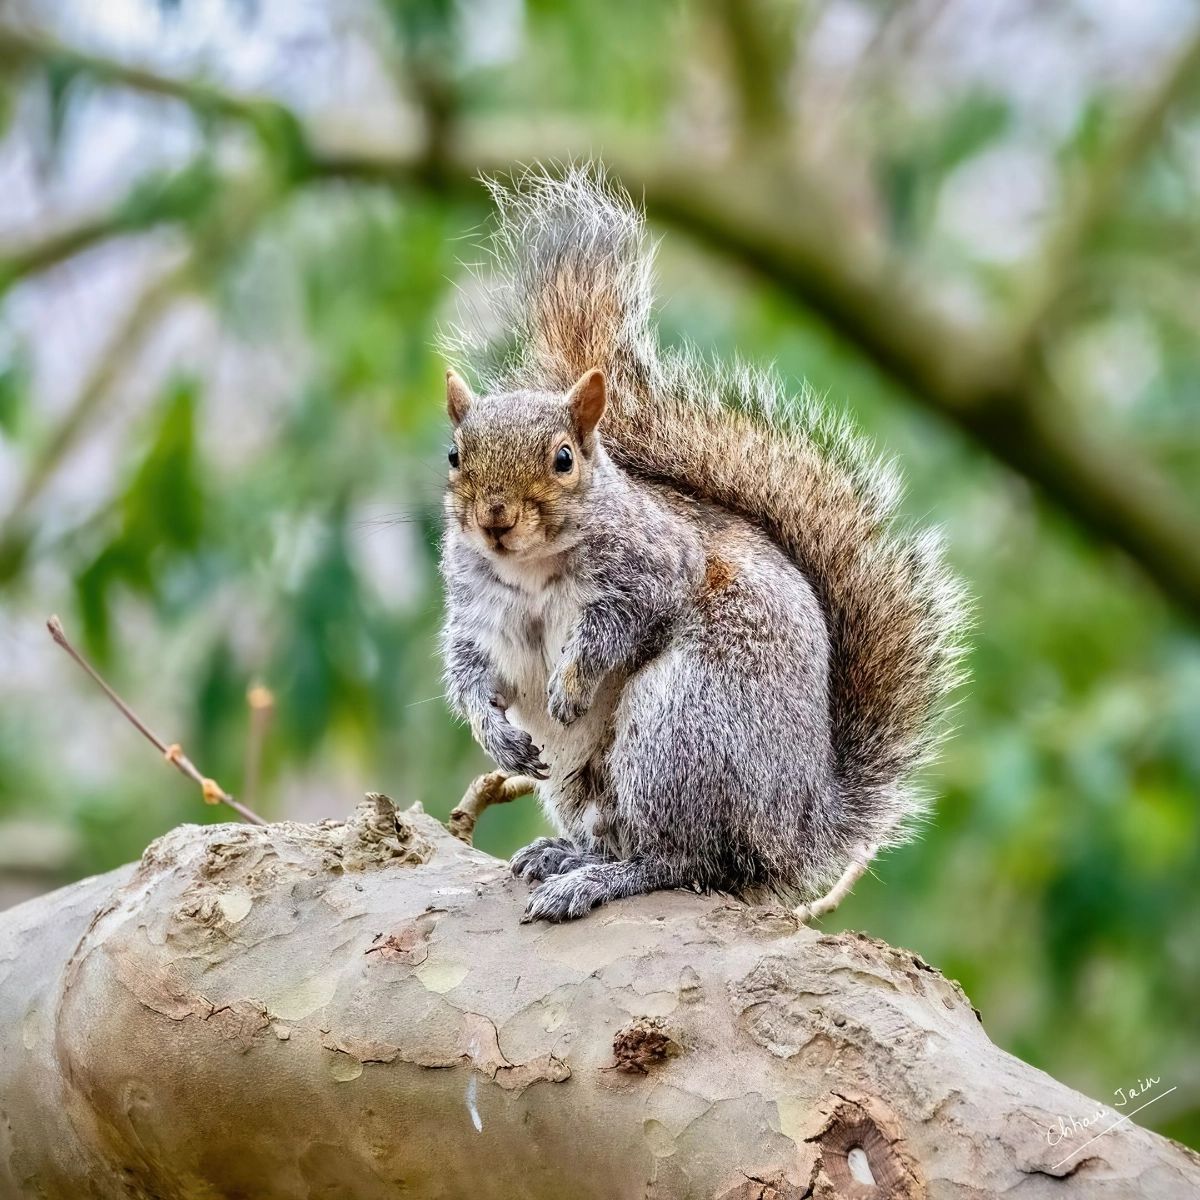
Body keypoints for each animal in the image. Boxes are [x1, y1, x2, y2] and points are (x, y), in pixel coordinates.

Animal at [439, 164, 964, 921]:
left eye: (564, 458)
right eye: (455, 456)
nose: (495, 519)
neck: (533, 570)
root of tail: (795, 828)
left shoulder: (658, 568)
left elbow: (617, 625)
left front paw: (571, 682)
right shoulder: (477, 612)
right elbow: (471, 670)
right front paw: (494, 729)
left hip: (682, 728)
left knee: (681, 858)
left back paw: (600, 878)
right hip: (586, 778)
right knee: (632, 836)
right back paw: (570, 855)